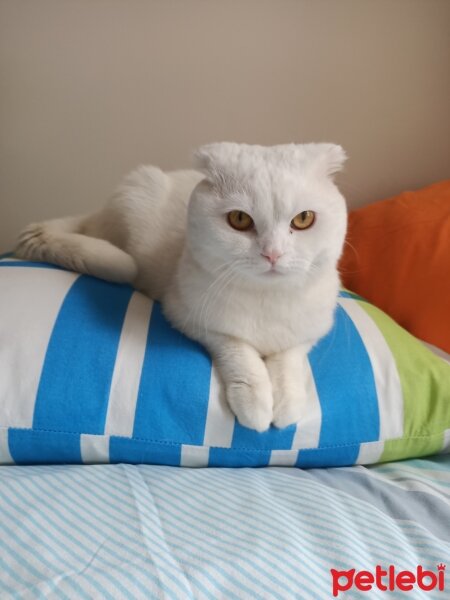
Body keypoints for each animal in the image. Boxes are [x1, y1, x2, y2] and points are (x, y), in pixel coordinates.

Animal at [15, 141, 348, 432]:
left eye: (303, 219)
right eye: (239, 219)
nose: (273, 253)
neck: (267, 300)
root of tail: (94, 215)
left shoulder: (311, 331)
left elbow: (289, 359)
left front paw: (287, 403)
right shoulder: (191, 318)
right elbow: (240, 354)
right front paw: (255, 402)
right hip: (134, 195)